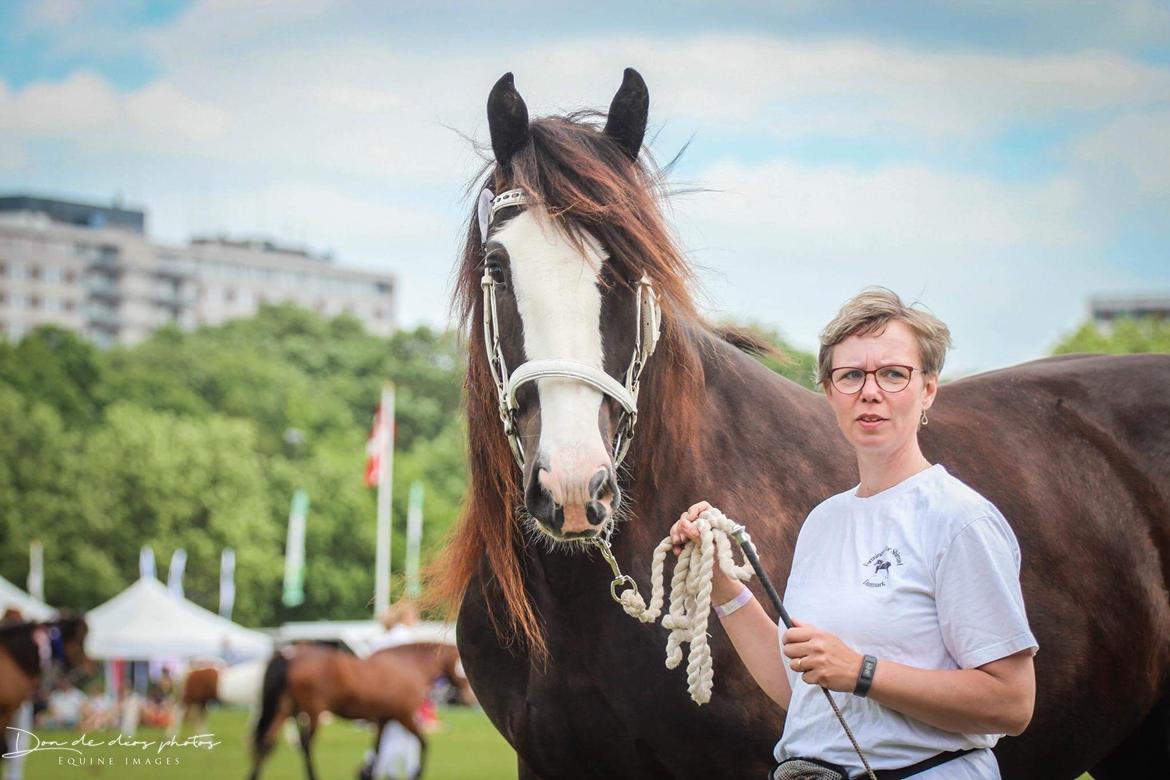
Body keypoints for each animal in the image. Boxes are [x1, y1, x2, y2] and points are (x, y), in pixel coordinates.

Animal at [250, 640, 470, 780]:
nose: (469, 699)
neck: (407, 665)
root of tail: (290, 656)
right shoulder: (404, 716)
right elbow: (424, 744)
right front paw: (416, 773)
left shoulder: (383, 719)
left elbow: (377, 750)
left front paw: (365, 773)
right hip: (313, 712)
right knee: (306, 745)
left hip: (285, 709)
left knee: (266, 743)